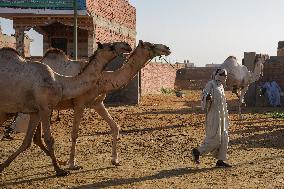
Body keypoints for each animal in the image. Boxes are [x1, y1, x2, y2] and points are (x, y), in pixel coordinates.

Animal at [0, 41, 132, 176]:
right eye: (110, 46)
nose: (127, 45)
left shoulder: (96, 103)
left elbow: (28, 141)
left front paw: (115, 160)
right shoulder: (53, 107)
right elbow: (55, 138)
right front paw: (65, 168)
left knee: (34, 138)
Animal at [30, 40, 171, 170]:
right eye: (151, 45)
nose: (167, 48)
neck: (102, 80)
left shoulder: (97, 103)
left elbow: (115, 127)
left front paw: (115, 160)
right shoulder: (79, 104)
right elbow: (74, 133)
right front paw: (72, 163)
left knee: (37, 137)